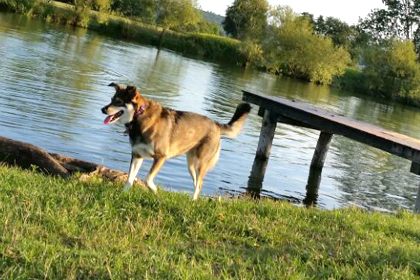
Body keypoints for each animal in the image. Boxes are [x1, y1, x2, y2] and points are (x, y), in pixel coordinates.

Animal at [101, 83, 251, 199]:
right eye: (111, 99)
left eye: (118, 101)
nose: (103, 109)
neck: (139, 116)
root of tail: (216, 124)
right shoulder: (137, 155)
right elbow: (129, 179)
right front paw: (122, 195)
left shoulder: (161, 157)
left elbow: (148, 179)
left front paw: (155, 192)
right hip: (191, 164)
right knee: (197, 183)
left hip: (200, 163)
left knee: (199, 184)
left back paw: (192, 202)